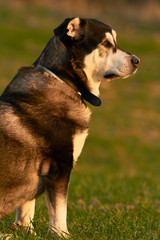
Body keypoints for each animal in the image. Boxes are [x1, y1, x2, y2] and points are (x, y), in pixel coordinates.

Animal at [0, 17, 139, 237]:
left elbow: (26, 209)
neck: (62, 80)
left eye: (115, 42)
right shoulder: (60, 166)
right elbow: (59, 210)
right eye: (106, 43)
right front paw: (61, 234)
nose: (136, 61)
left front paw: (26, 233)